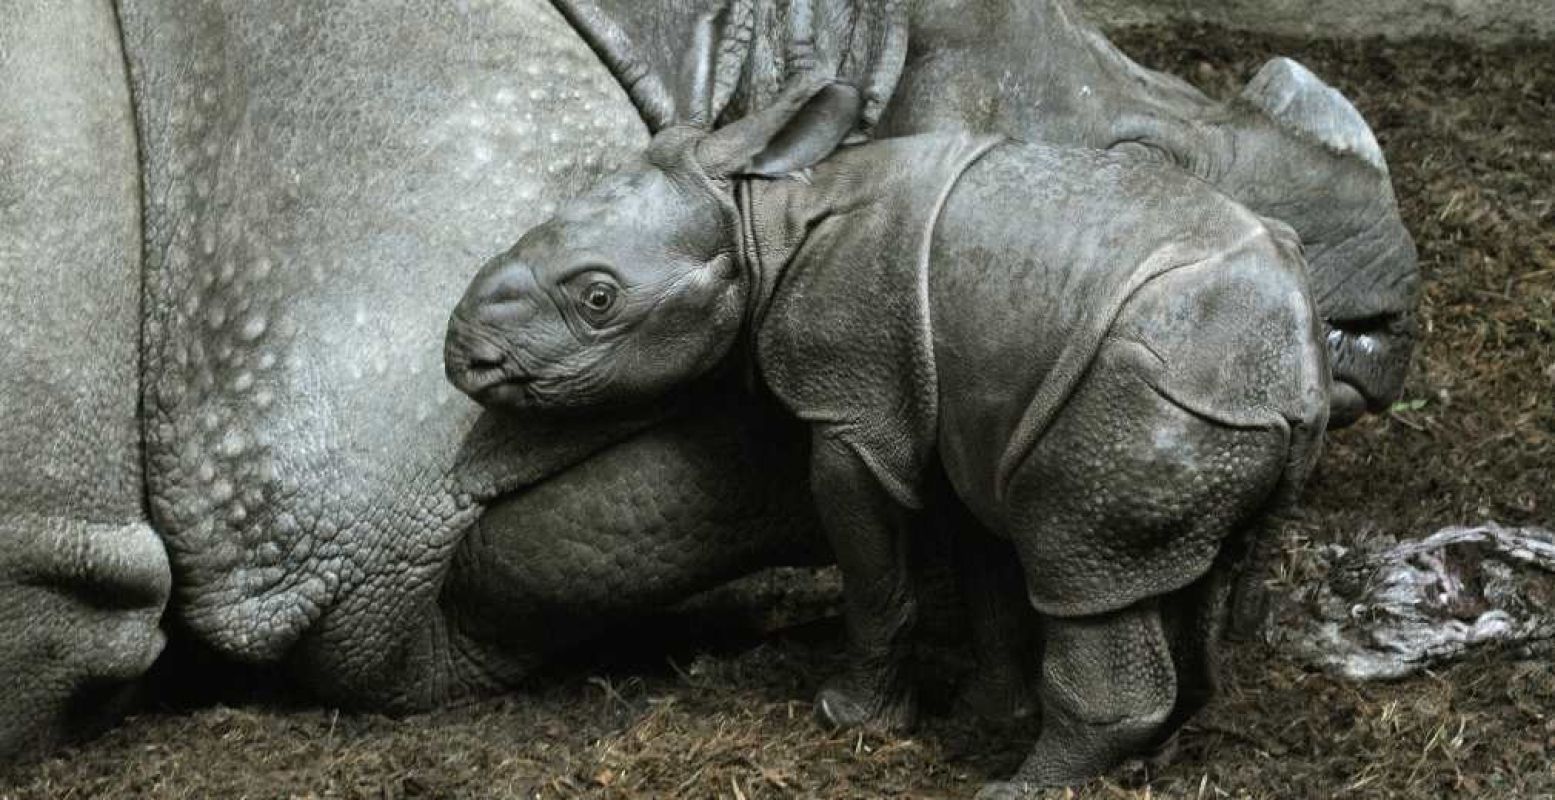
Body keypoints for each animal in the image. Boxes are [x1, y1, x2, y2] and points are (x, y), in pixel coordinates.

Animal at [444, 48, 1331, 778]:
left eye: (598, 298)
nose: (463, 353)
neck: (758, 220)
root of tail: (1291, 365)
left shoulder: (852, 408)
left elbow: (875, 572)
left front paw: (852, 719)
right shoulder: (965, 407)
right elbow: (983, 570)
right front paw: (984, 715)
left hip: (1143, 395)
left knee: (1080, 555)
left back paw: (1021, 786)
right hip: (1200, 402)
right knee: (1175, 569)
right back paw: (1143, 754)